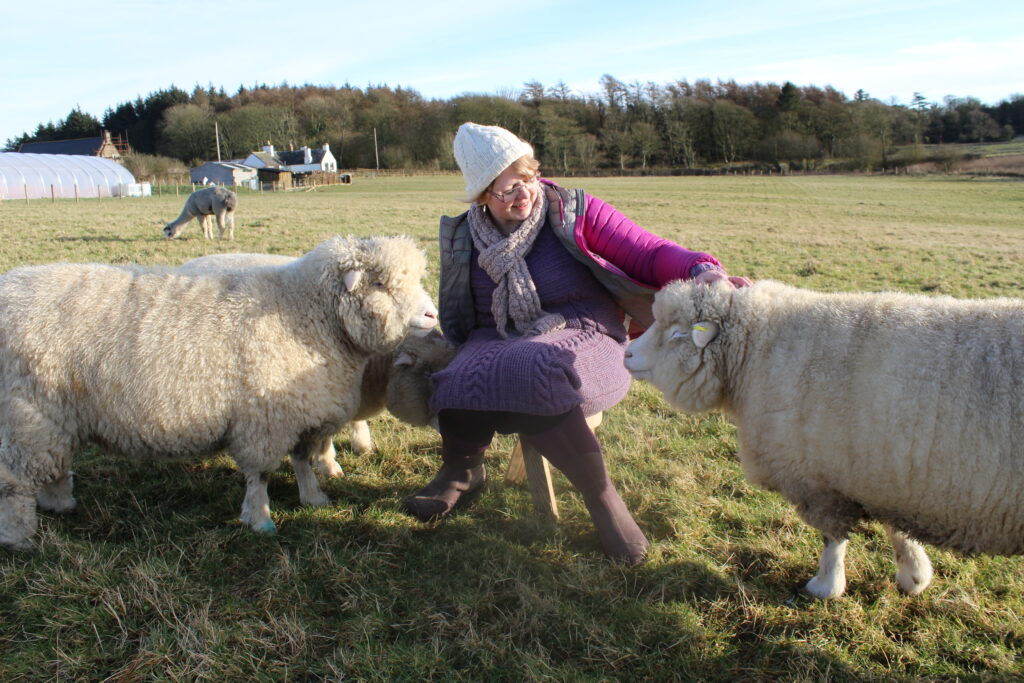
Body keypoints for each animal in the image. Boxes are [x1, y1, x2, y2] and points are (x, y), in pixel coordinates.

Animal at [0, 235, 436, 548]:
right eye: (380, 283)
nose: (433, 315)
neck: (306, 314)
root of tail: (10, 289)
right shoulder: (265, 420)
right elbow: (260, 474)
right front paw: (260, 520)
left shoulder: (302, 412)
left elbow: (302, 461)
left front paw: (314, 499)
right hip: (25, 416)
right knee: (15, 481)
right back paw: (21, 538)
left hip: (53, 418)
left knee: (54, 465)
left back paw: (61, 505)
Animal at [622, 278, 1024, 598]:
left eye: (677, 333)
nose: (626, 353)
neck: (754, 354)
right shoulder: (884, 473)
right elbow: (896, 529)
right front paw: (915, 574)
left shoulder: (821, 480)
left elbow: (833, 540)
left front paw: (826, 586)